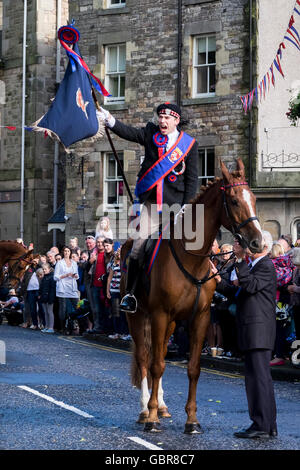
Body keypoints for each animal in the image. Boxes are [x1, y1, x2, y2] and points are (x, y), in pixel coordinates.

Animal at [121, 158, 262, 434]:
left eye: (253, 198)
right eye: (234, 201)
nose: (257, 242)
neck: (191, 258)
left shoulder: (200, 317)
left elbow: (193, 368)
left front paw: (191, 420)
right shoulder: (159, 314)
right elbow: (155, 365)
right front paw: (151, 419)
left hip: (171, 323)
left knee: (160, 353)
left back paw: (161, 406)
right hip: (138, 316)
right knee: (144, 358)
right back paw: (145, 409)